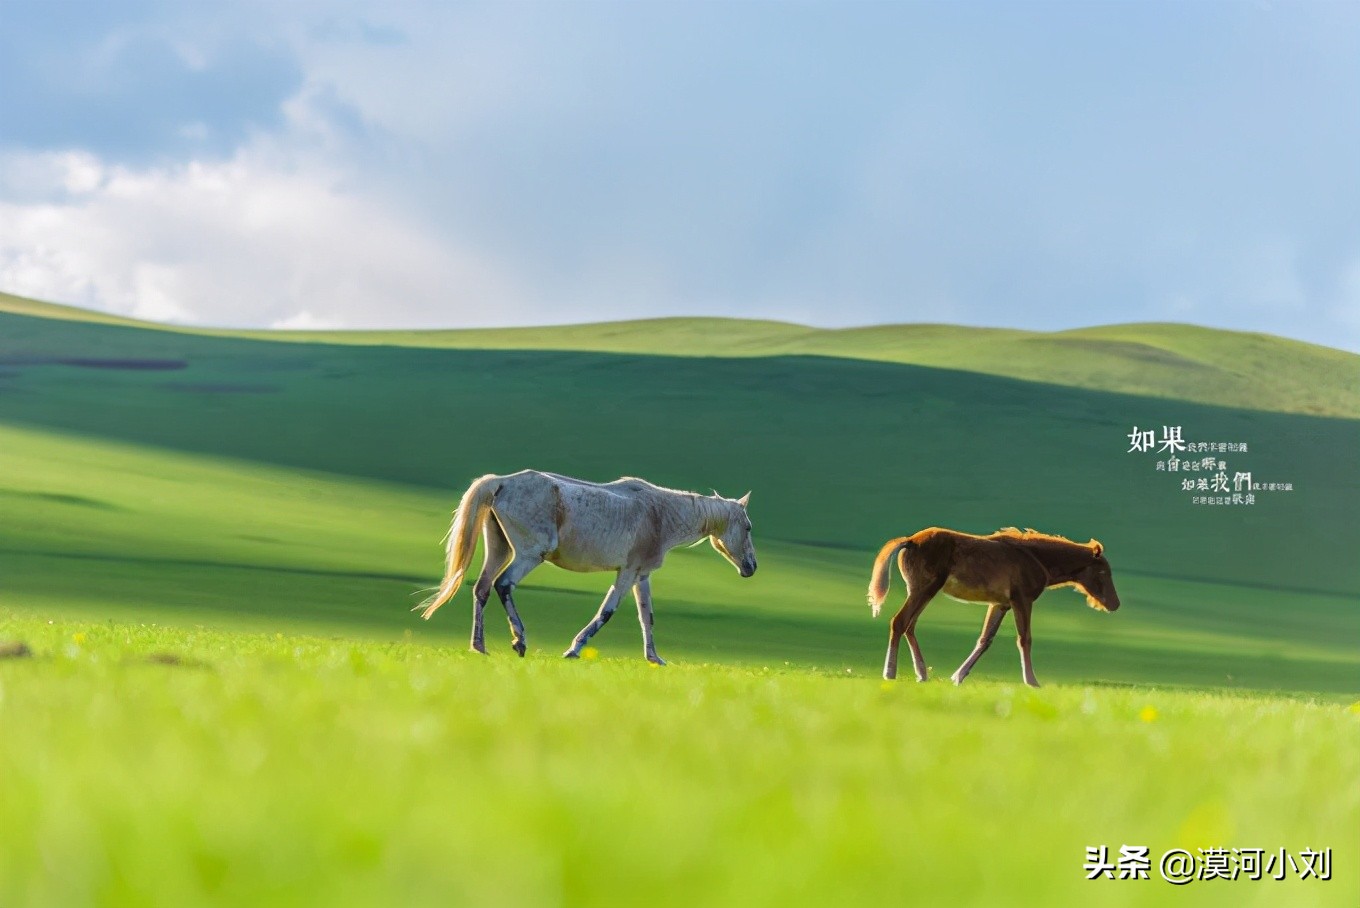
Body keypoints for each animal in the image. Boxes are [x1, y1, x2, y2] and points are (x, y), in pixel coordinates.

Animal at [416, 473, 756, 663]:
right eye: (749, 527)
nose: (751, 567)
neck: (660, 514)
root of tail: (502, 482)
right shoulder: (627, 572)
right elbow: (606, 612)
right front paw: (574, 649)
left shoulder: (641, 575)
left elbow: (647, 617)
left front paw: (654, 658)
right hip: (528, 555)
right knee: (503, 585)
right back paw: (519, 641)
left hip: (499, 549)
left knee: (483, 588)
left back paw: (480, 647)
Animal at [870, 527, 1115, 685]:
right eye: (1103, 572)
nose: (1115, 603)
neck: (1037, 559)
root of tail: (910, 540)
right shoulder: (1022, 600)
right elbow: (1024, 639)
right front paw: (1032, 681)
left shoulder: (1000, 604)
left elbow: (985, 639)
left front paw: (958, 676)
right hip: (924, 589)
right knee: (900, 622)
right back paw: (890, 673)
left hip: (922, 591)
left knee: (910, 626)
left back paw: (921, 674)